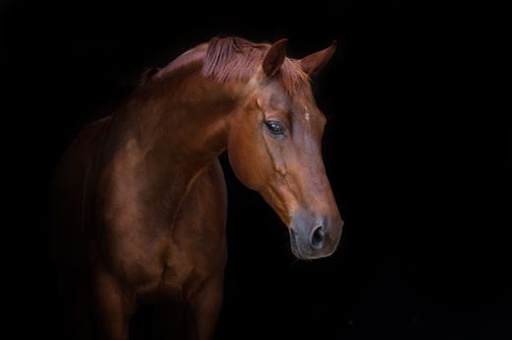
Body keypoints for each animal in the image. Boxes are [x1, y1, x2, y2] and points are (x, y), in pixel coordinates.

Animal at [49, 35, 344, 338]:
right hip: (72, 287)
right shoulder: (110, 300)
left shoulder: (205, 299)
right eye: (274, 125)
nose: (327, 232)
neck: (160, 190)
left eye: (321, 124)